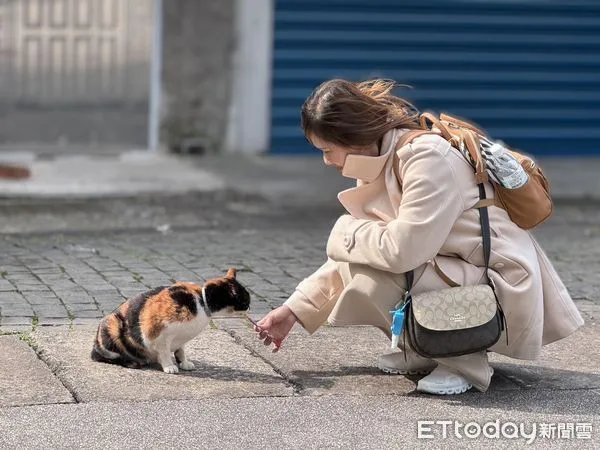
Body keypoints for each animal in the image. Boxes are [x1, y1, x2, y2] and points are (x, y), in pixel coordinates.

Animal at [90, 268, 250, 372]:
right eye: (245, 300)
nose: (249, 307)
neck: (201, 302)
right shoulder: (157, 334)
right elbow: (165, 352)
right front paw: (169, 366)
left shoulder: (181, 339)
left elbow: (181, 351)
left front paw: (184, 363)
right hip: (112, 324)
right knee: (100, 356)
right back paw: (131, 363)